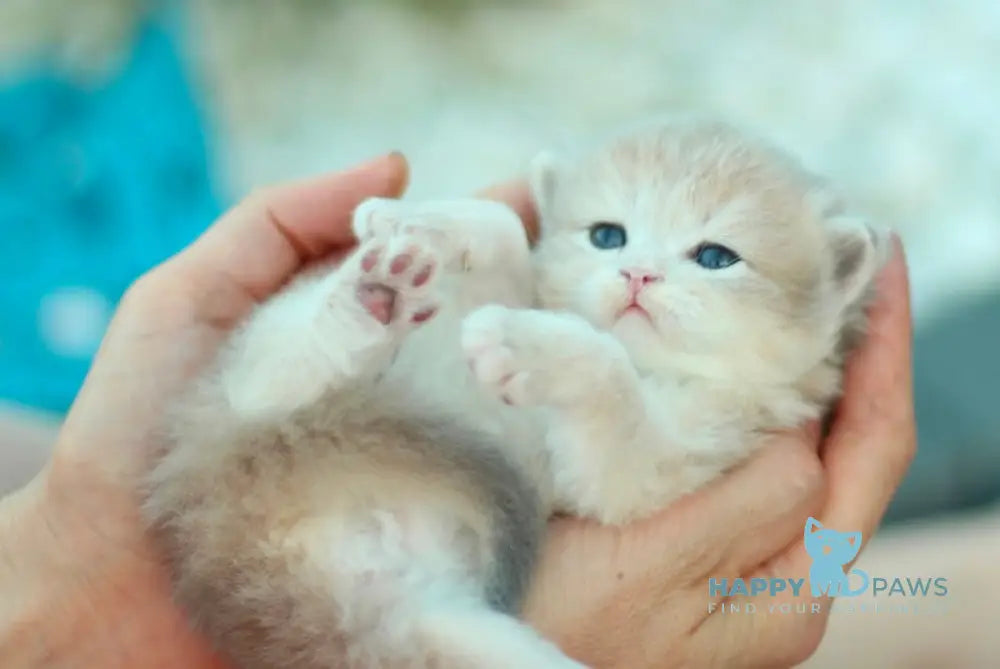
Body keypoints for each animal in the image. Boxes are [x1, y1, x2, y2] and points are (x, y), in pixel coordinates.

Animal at [141, 117, 884, 664]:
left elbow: (609, 380)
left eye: (715, 257)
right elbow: (506, 234)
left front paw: (525, 345)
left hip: (412, 623)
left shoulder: (667, 462)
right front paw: (419, 219)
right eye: (608, 235)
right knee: (263, 380)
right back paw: (365, 302)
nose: (638, 275)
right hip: (268, 381)